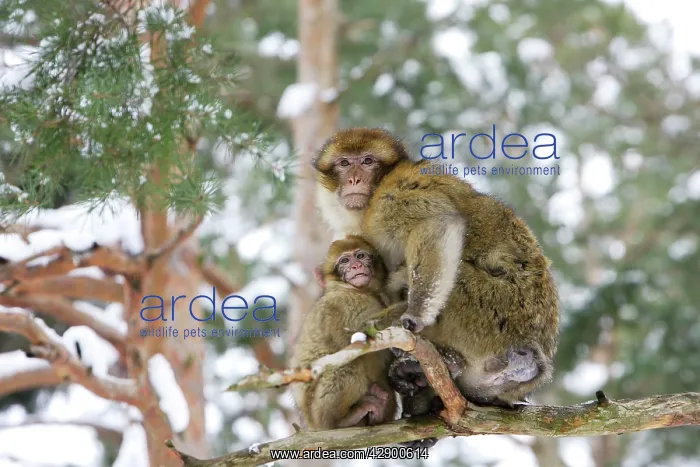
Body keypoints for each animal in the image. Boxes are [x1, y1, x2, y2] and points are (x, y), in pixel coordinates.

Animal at [290, 235, 405, 430]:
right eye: (344, 261)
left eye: (360, 256)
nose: (356, 266)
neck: (358, 291)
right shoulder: (346, 303)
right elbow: (362, 334)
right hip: (317, 410)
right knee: (346, 362)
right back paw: (340, 421)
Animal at [311, 127, 560, 409]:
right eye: (344, 163)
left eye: (367, 161)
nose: (355, 179)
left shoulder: (395, 194)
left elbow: (437, 224)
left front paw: (414, 315)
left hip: (495, 313)